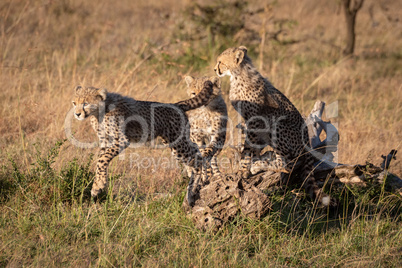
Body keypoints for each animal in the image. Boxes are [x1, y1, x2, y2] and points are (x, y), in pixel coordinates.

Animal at [71, 80, 218, 205]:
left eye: (85, 103)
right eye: (74, 103)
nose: (77, 114)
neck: (99, 112)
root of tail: (176, 104)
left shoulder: (122, 140)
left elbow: (102, 159)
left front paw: (98, 185)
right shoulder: (105, 141)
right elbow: (100, 161)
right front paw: (98, 185)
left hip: (178, 142)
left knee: (198, 156)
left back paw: (196, 186)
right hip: (175, 143)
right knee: (196, 151)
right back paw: (199, 177)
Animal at [214, 46, 330, 206]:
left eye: (220, 62)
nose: (215, 69)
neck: (238, 75)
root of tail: (307, 142)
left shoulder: (255, 121)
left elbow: (248, 148)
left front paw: (244, 169)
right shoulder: (251, 123)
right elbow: (252, 147)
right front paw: (250, 162)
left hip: (278, 125)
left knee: (286, 165)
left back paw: (259, 166)